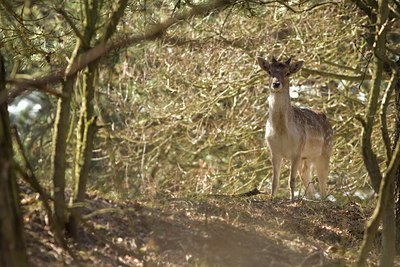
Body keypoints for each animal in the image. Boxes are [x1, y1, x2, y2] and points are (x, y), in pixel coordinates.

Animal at [258, 56, 332, 201]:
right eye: (269, 71)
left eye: (288, 73)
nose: (276, 84)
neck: (281, 131)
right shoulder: (274, 151)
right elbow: (275, 180)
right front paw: (271, 198)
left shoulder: (297, 150)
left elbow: (291, 180)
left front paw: (292, 199)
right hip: (306, 158)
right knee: (307, 179)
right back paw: (311, 198)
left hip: (325, 152)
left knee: (323, 182)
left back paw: (322, 199)